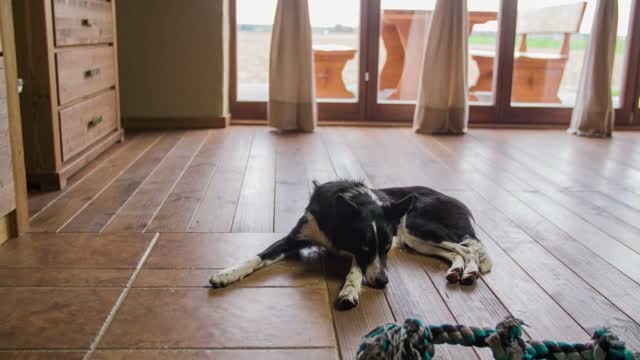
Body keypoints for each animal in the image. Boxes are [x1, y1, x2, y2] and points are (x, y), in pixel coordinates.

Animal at [209, 180, 490, 310]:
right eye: (365, 247)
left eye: (386, 247)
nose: (383, 282)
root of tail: (454, 199)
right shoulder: (296, 238)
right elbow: (258, 257)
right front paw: (227, 274)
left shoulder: (359, 253)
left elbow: (355, 270)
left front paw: (349, 290)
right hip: (416, 239)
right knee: (455, 251)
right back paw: (457, 270)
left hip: (416, 228)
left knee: (467, 247)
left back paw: (470, 271)